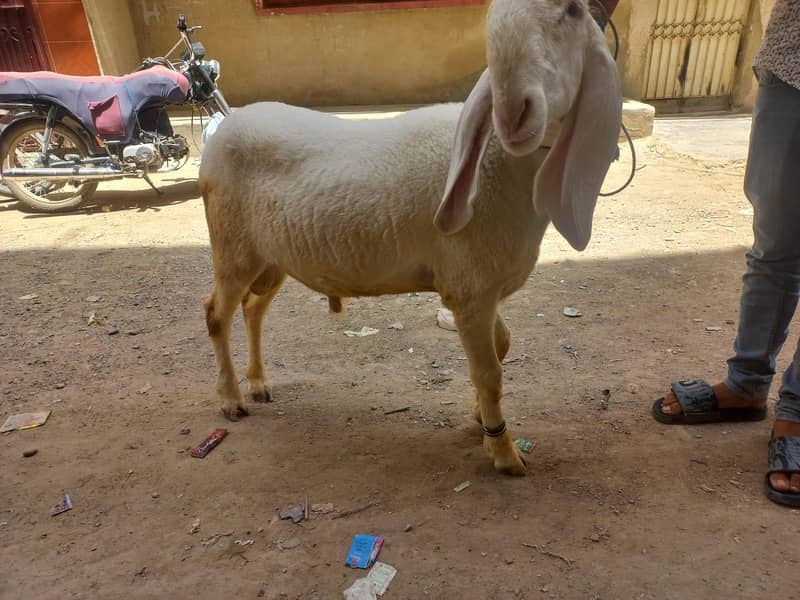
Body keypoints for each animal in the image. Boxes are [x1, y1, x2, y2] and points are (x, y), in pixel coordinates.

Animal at [199, 0, 622, 475]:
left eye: (572, 11)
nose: (513, 111)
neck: (503, 163)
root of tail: (223, 129)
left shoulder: (481, 285)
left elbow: (502, 345)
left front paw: (480, 418)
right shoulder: (470, 288)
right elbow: (490, 372)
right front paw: (502, 451)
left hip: (272, 257)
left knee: (253, 311)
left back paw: (258, 383)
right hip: (232, 247)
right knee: (217, 315)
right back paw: (231, 399)